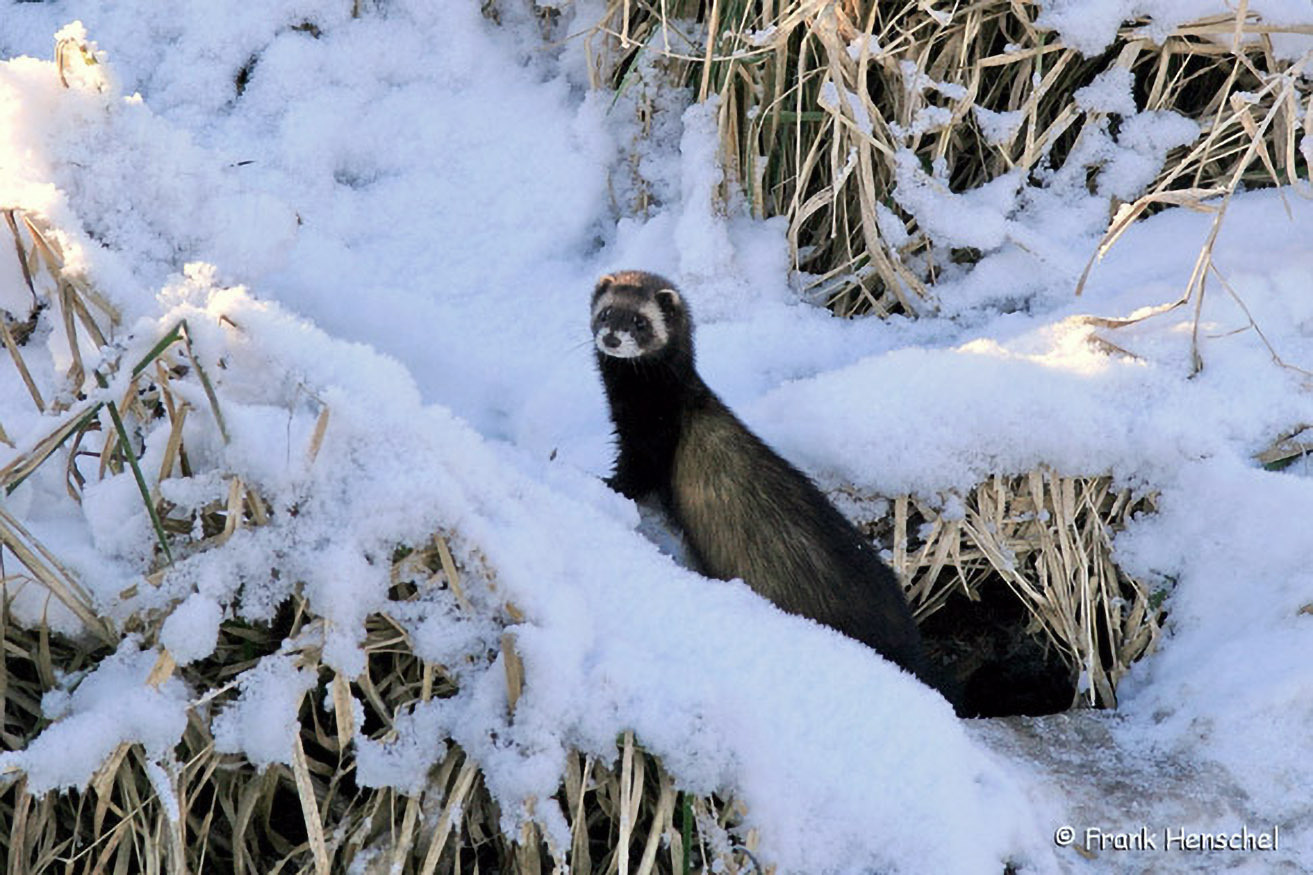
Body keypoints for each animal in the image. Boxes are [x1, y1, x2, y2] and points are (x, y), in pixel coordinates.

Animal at [592, 270, 957, 709]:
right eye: (607, 312)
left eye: (640, 321)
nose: (613, 337)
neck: (655, 400)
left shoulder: (651, 442)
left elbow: (633, 479)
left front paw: (599, 484)